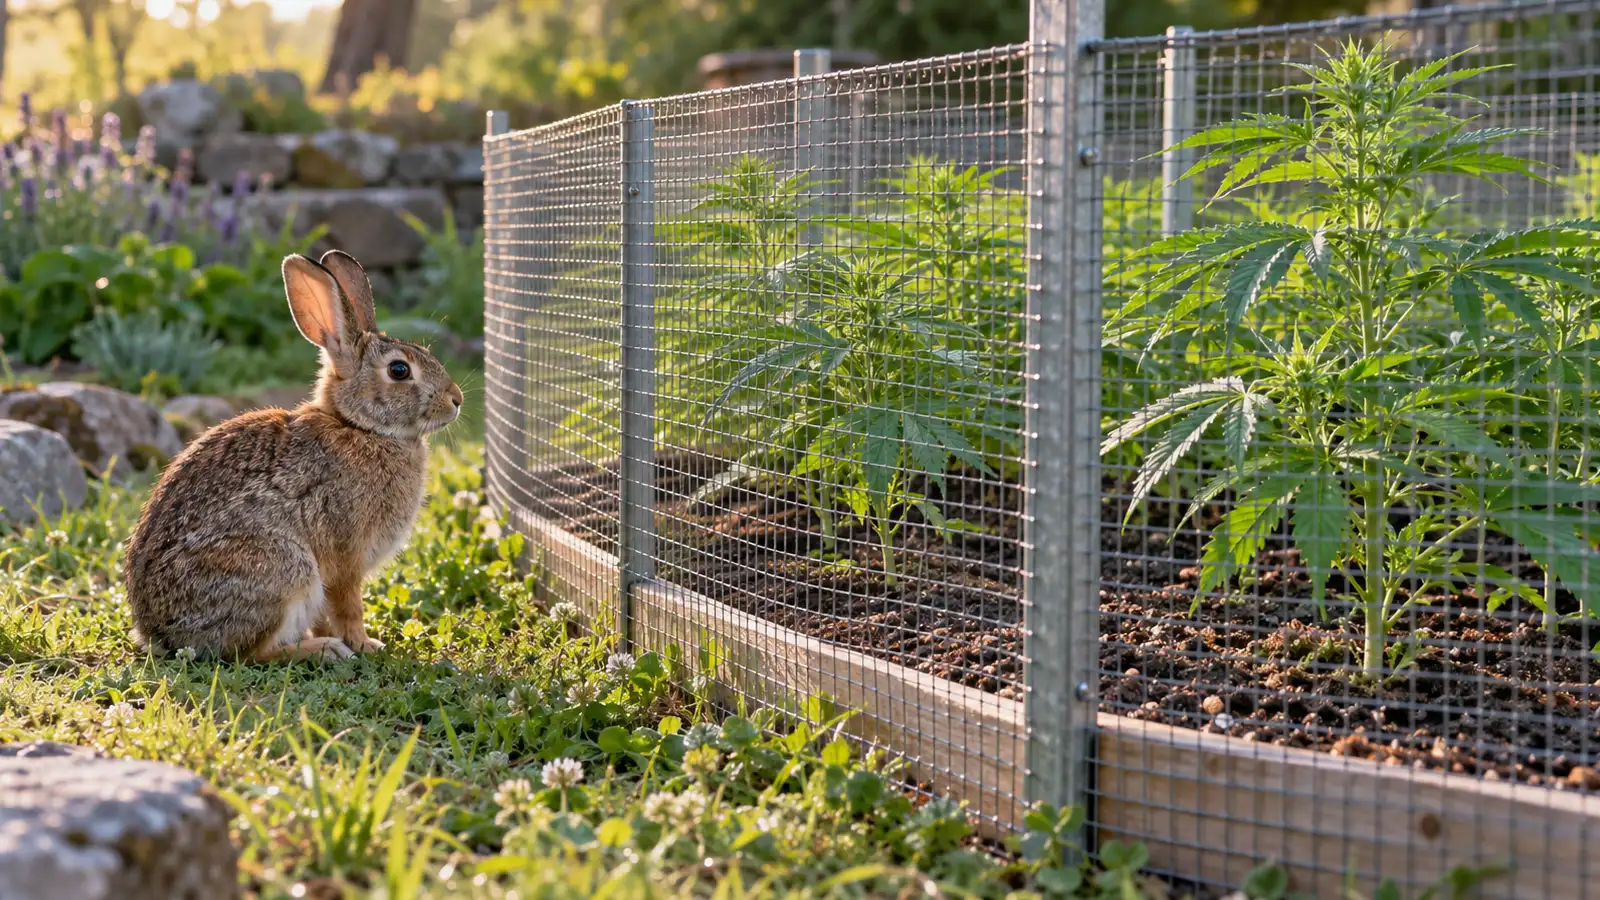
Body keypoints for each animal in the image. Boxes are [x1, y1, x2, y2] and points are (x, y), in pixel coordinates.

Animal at [124, 250, 464, 662]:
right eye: (400, 370)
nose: (457, 400)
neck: (359, 427)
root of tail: (159, 633)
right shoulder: (344, 552)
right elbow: (348, 604)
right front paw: (364, 644)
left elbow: (326, 612)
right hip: (284, 570)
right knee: (250, 653)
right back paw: (322, 651)